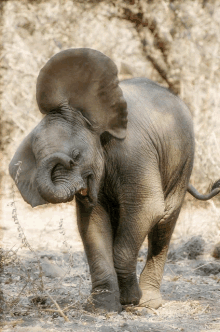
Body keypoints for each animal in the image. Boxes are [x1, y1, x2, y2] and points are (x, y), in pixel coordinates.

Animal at [9, 48, 220, 312]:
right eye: (38, 159)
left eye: (76, 156)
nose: (65, 161)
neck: (86, 115)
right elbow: (91, 222)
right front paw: (103, 307)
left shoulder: (134, 151)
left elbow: (147, 208)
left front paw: (131, 300)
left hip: (184, 159)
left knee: (165, 220)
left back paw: (149, 303)